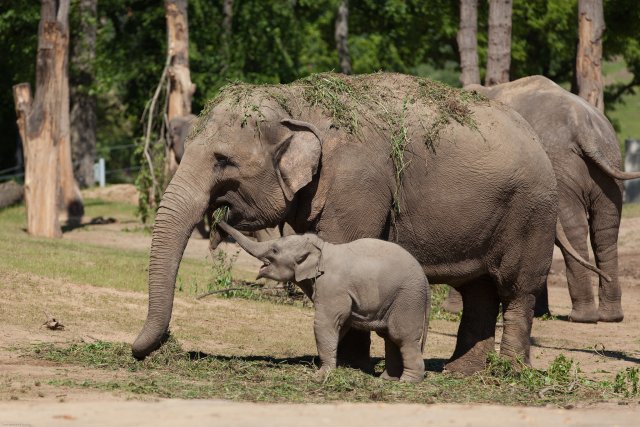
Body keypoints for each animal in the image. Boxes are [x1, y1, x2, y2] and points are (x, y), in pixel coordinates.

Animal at [218, 222, 432, 382]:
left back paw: (408, 381)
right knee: (389, 336)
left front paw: (320, 376)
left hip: (407, 297)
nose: (219, 216)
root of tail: (425, 280)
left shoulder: (332, 286)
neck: (321, 248)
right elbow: (340, 325)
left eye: (275, 250)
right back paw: (387, 379)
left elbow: (325, 323)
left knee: (401, 336)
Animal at [444, 77, 640, 324]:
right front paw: (539, 312)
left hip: (564, 168)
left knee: (575, 229)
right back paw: (609, 317)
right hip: (609, 167)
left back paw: (582, 317)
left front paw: (453, 310)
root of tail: (585, 127)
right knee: (606, 229)